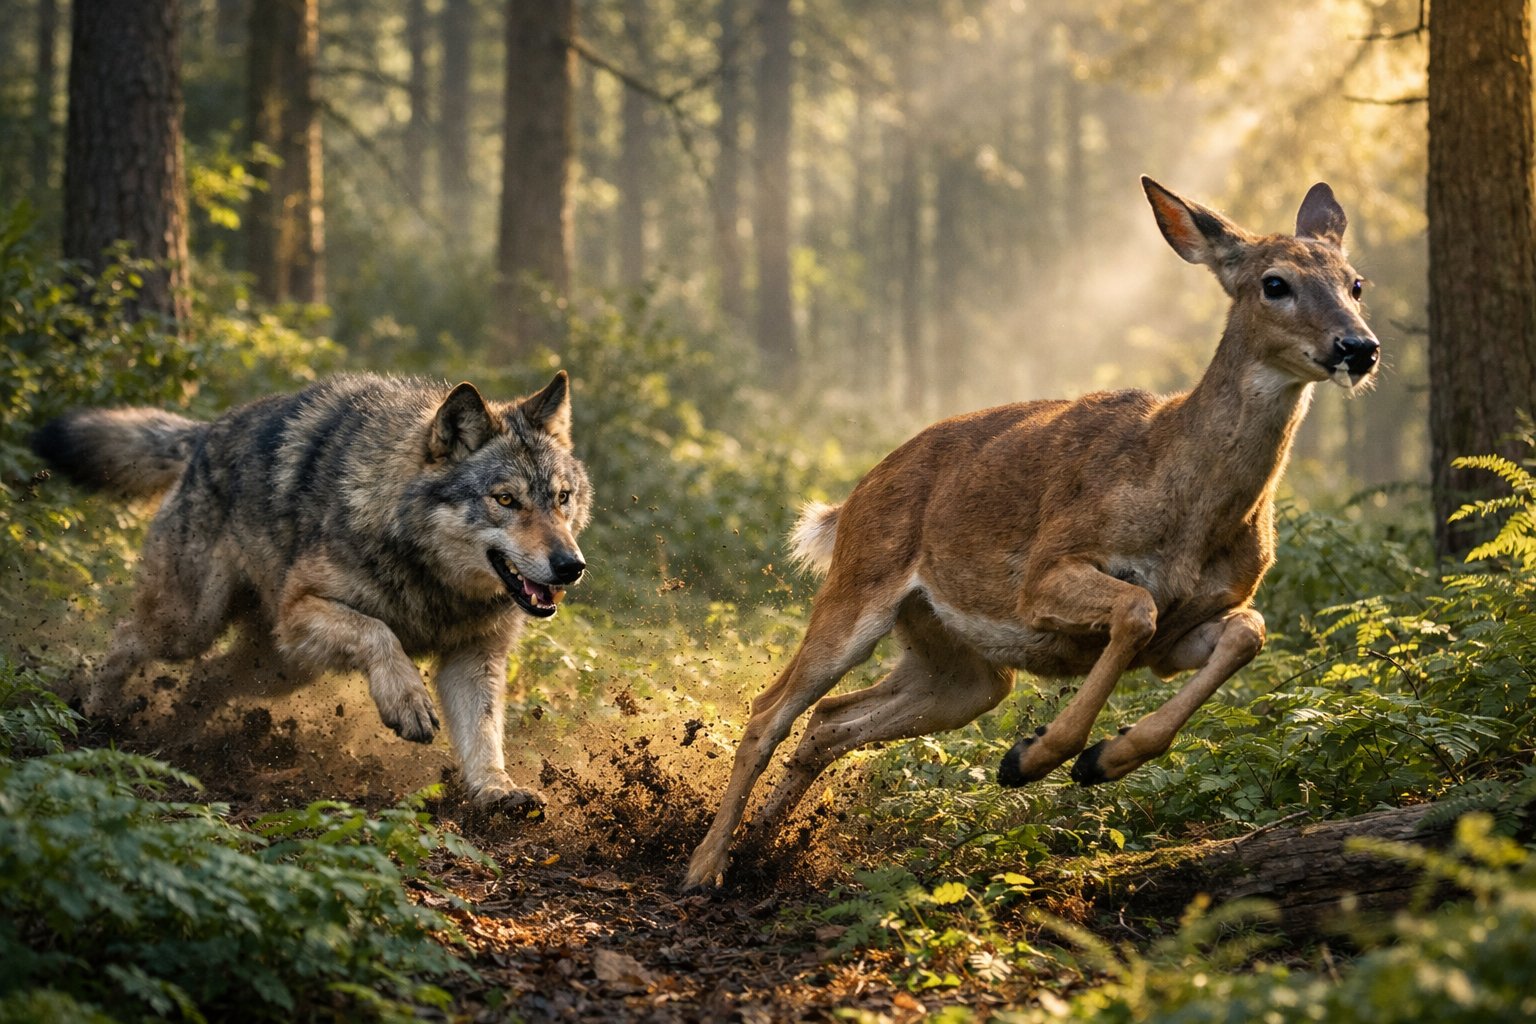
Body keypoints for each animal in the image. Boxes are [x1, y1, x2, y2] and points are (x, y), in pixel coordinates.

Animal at [31, 371, 591, 812]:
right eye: (506, 500)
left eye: (562, 499)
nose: (571, 567)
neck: (435, 584)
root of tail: (208, 431)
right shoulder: (299, 612)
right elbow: (379, 633)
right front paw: (407, 700)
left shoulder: (474, 658)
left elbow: (485, 733)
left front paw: (498, 790)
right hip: (193, 627)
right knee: (127, 635)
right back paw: (97, 711)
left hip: (278, 668)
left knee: (206, 680)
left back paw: (193, 736)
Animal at [682, 177, 1381, 891]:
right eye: (1275, 283)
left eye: (1356, 282)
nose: (1358, 347)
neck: (1186, 504)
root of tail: (851, 501)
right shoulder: (1048, 570)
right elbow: (1137, 607)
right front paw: (1036, 756)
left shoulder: (1186, 629)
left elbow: (1247, 631)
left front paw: (1102, 759)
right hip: (858, 589)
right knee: (769, 711)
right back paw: (705, 867)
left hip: (959, 669)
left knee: (829, 721)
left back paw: (761, 848)